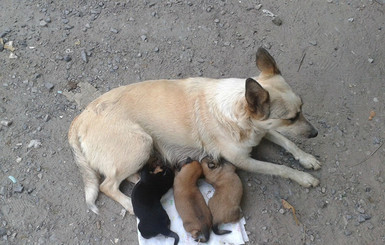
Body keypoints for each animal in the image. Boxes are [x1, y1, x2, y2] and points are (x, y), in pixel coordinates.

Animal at [68, 47, 320, 214]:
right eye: (290, 118)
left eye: (302, 108)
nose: (315, 134)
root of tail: (80, 118)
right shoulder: (244, 160)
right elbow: (279, 168)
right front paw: (303, 177)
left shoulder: (262, 130)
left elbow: (288, 142)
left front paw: (307, 159)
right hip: (141, 143)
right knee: (107, 185)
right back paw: (132, 204)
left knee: (120, 177)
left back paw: (140, 178)